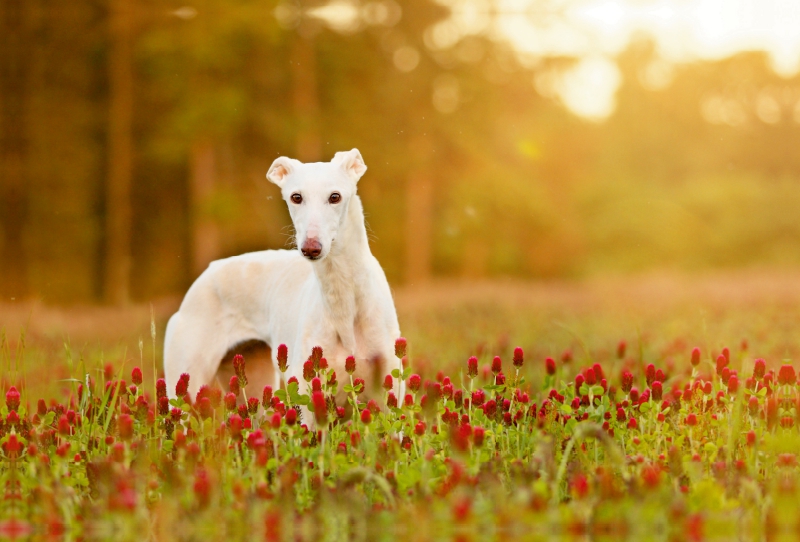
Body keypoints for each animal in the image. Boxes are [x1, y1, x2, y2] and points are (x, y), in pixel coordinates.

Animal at [162, 151, 400, 410]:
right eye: (296, 197)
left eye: (335, 196)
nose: (311, 248)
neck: (344, 299)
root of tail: (206, 273)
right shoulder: (310, 401)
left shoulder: (389, 396)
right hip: (188, 385)